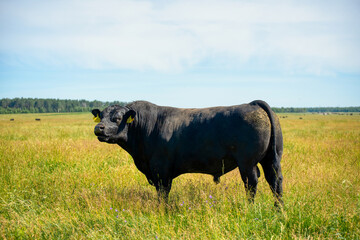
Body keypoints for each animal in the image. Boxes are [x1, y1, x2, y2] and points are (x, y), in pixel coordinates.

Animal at [91, 100, 282, 205]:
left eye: (117, 118)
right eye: (101, 117)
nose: (98, 128)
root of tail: (252, 104)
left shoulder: (161, 169)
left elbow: (163, 192)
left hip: (247, 163)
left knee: (252, 183)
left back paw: (250, 207)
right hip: (271, 159)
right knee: (275, 180)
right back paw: (278, 208)